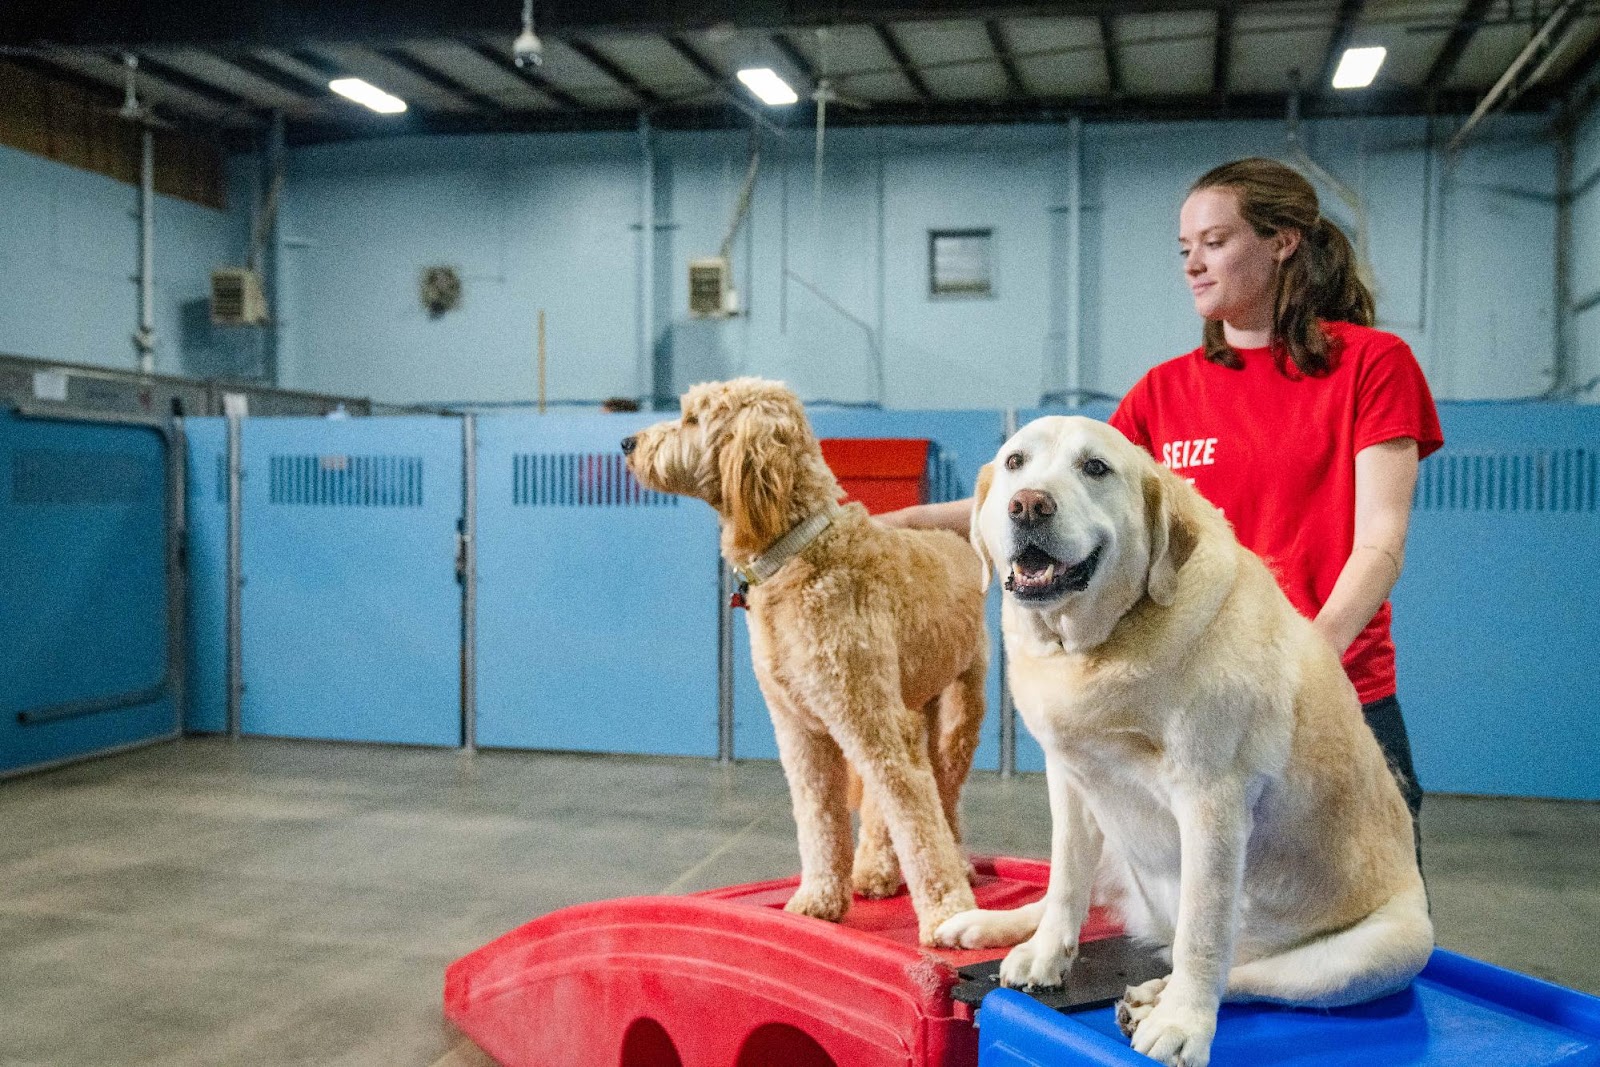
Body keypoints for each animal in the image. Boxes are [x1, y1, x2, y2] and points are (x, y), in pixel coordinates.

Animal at [624, 375, 985, 940]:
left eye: (691, 419)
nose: (628, 443)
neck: (800, 553)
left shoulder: (871, 724)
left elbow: (919, 826)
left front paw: (948, 912)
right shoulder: (803, 733)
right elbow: (819, 821)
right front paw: (819, 899)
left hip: (955, 713)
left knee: (942, 795)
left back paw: (958, 864)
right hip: (905, 710)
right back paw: (875, 870)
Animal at [934, 415, 1433, 1067]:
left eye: (1095, 468)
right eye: (1016, 462)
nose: (1029, 504)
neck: (1096, 648)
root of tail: (1151, 924)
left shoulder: (1212, 804)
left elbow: (1202, 932)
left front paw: (1183, 1022)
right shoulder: (1070, 780)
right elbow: (1065, 879)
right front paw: (1045, 955)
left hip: (1388, 948)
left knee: (1238, 969)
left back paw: (1156, 997)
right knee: (1072, 893)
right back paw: (992, 928)